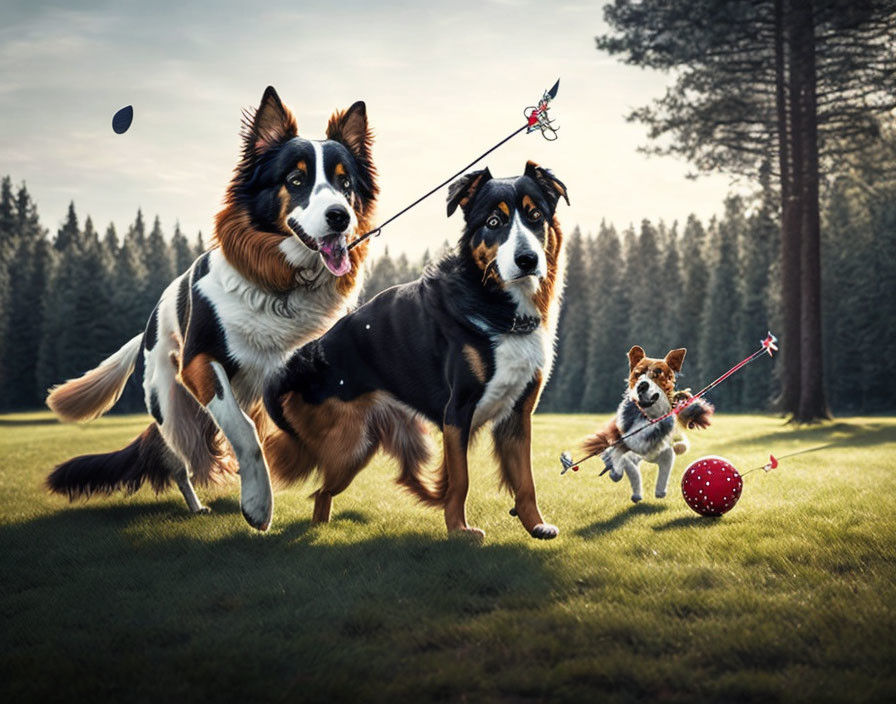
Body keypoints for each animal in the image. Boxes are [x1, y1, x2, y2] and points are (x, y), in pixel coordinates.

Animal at [44, 86, 378, 528]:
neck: (281, 287)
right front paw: (258, 502)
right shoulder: (201, 362)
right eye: (296, 180)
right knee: (179, 461)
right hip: (172, 409)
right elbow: (245, 432)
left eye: (345, 183)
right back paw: (197, 502)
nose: (340, 217)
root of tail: (148, 324)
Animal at [262, 162, 568, 540]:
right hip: (349, 445)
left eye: (535, 215)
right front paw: (459, 531)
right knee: (317, 487)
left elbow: (525, 481)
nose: (526, 259)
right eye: (494, 222)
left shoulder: (518, 415)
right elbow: (461, 482)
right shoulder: (457, 411)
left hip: (357, 449)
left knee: (322, 493)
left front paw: (534, 524)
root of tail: (305, 359)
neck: (495, 304)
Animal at [580, 346, 712, 500]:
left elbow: (665, 467)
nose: (642, 385)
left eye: (658, 373)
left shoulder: (664, 451)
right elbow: (629, 468)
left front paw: (660, 491)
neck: (649, 418)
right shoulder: (629, 448)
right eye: (637, 374)